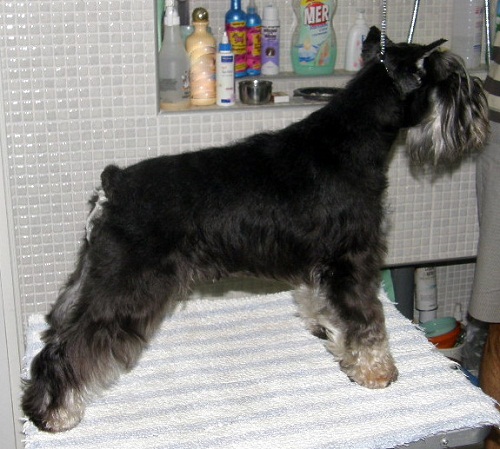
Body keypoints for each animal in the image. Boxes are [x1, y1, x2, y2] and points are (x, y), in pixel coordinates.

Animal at [22, 27, 488, 432]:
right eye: (451, 78)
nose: (480, 107)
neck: (353, 138)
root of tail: (113, 183)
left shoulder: (326, 263)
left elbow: (324, 304)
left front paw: (328, 333)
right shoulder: (354, 260)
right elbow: (366, 321)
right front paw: (376, 371)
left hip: (97, 274)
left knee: (58, 326)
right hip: (128, 287)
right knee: (69, 349)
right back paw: (55, 414)